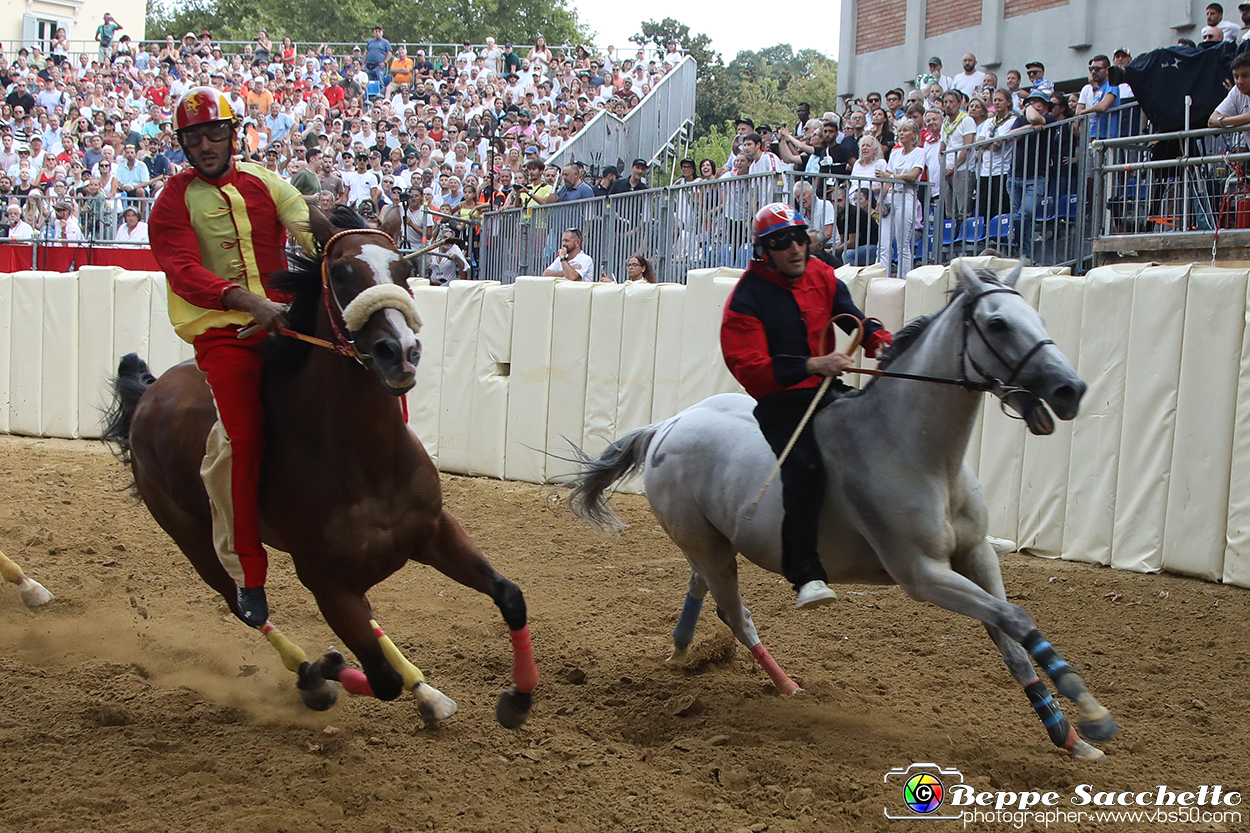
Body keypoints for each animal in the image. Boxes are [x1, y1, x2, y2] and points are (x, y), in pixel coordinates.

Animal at [101, 203, 537, 725]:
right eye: (341, 272)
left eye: (404, 269)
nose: (399, 351)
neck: (366, 462)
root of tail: (148, 394)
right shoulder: (326, 581)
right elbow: (380, 680)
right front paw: (322, 672)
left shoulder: (434, 532)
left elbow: (509, 595)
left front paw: (516, 699)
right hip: (192, 538)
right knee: (245, 607)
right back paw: (312, 673)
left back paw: (427, 694)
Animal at [572, 260, 1120, 760]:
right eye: (999, 323)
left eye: (1038, 316)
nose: (1069, 389)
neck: (912, 449)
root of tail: (666, 426)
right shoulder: (923, 575)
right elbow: (1018, 620)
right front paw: (1092, 714)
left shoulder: (977, 557)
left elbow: (1011, 639)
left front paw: (1068, 735)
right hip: (705, 545)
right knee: (735, 613)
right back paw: (786, 684)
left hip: (713, 544)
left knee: (700, 587)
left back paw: (684, 647)